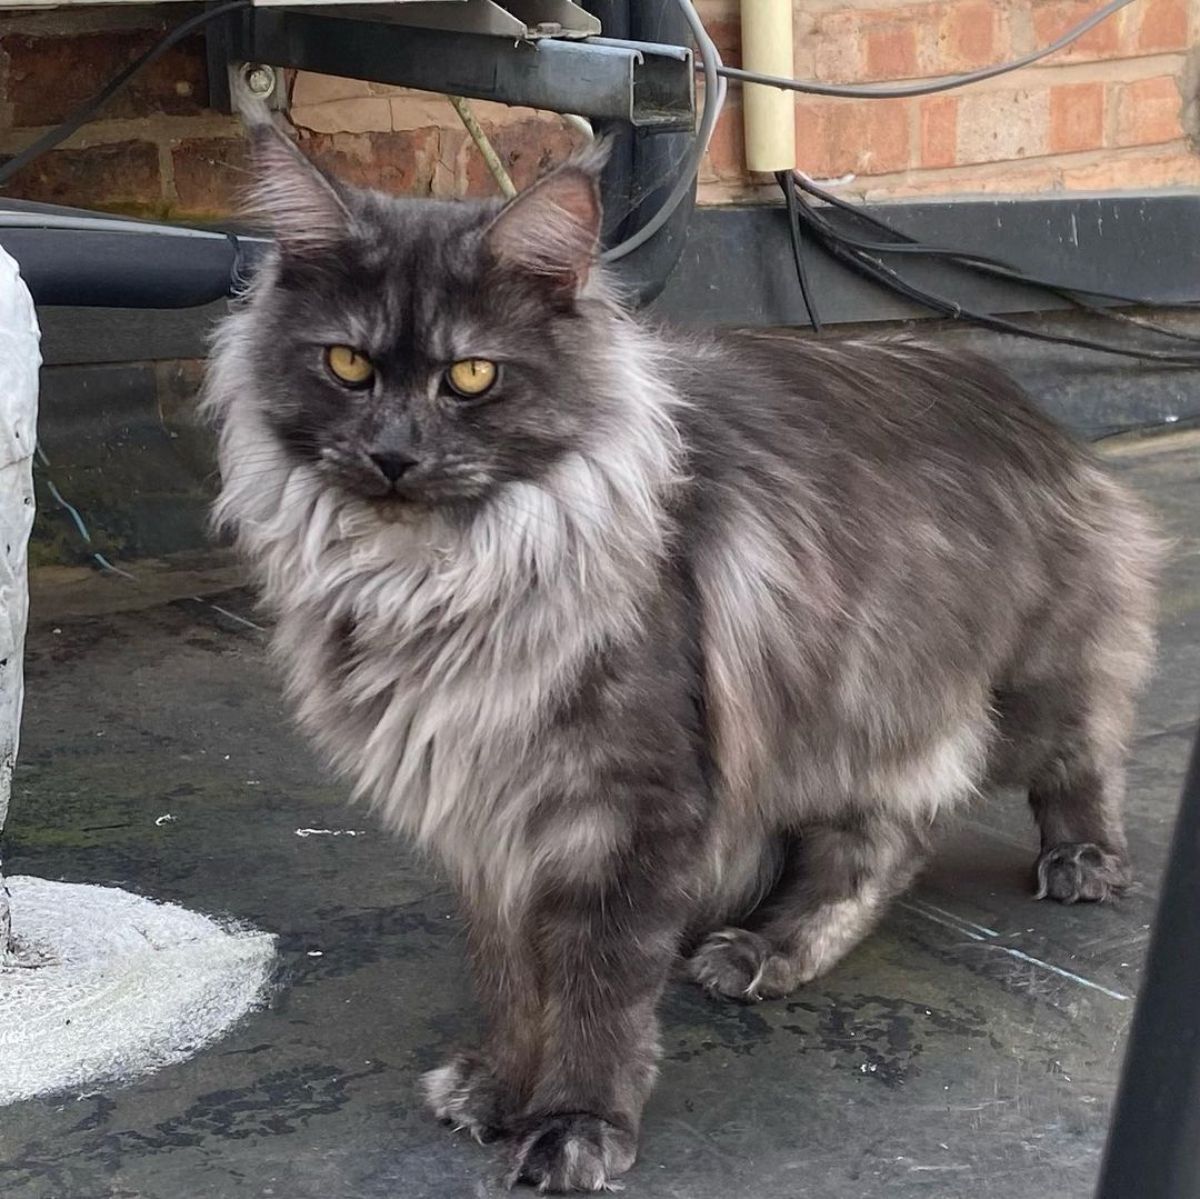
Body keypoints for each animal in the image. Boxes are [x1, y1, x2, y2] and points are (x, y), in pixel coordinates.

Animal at [206, 110, 1161, 1190]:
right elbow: (514, 978)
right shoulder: (489, 819)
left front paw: (574, 1120)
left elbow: (595, 987)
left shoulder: (628, 806)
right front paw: (499, 1086)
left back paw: (1081, 858)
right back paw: (767, 952)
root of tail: (1016, 394)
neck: (438, 578)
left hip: (1009, 689)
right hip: (848, 711)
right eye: (348, 366)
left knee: (1080, 750)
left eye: (472, 376)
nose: (394, 455)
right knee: (883, 843)